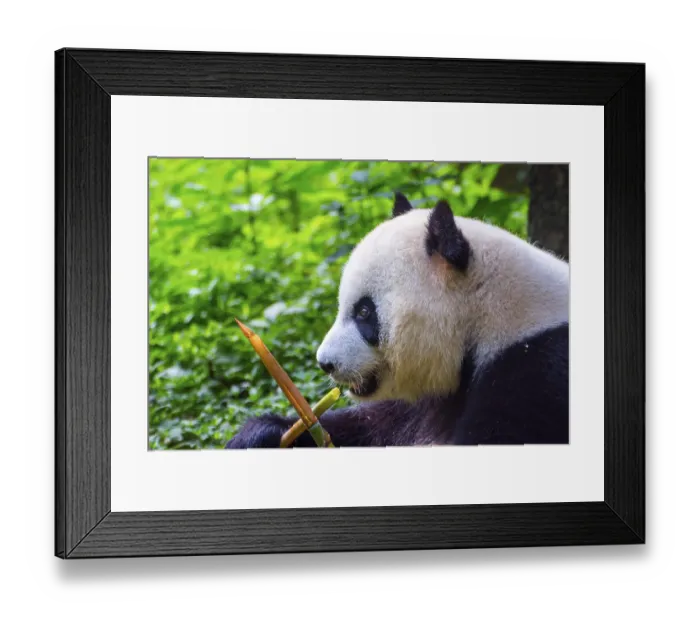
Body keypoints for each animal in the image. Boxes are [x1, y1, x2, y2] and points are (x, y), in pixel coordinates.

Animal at [226, 192, 569, 448]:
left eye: (364, 312)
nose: (325, 363)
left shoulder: (534, 372)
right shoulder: (421, 401)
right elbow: (368, 424)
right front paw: (261, 433)